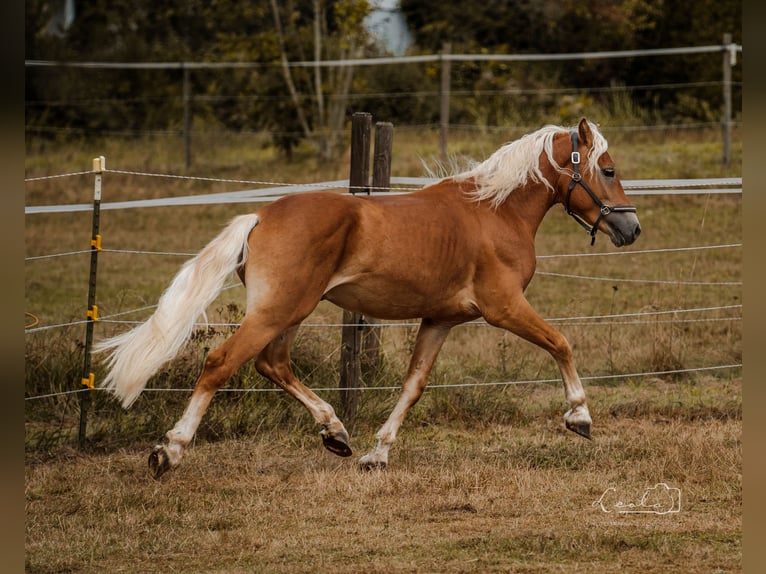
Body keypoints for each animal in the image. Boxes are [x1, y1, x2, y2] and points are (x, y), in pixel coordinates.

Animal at [99, 118, 644, 482]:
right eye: (608, 169)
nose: (632, 228)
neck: (494, 211)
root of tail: (260, 216)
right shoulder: (503, 308)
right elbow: (561, 344)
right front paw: (580, 418)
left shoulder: (440, 320)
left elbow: (413, 385)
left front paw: (376, 454)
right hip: (277, 311)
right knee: (220, 363)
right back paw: (169, 451)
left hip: (290, 313)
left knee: (273, 364)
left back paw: (336, 433)